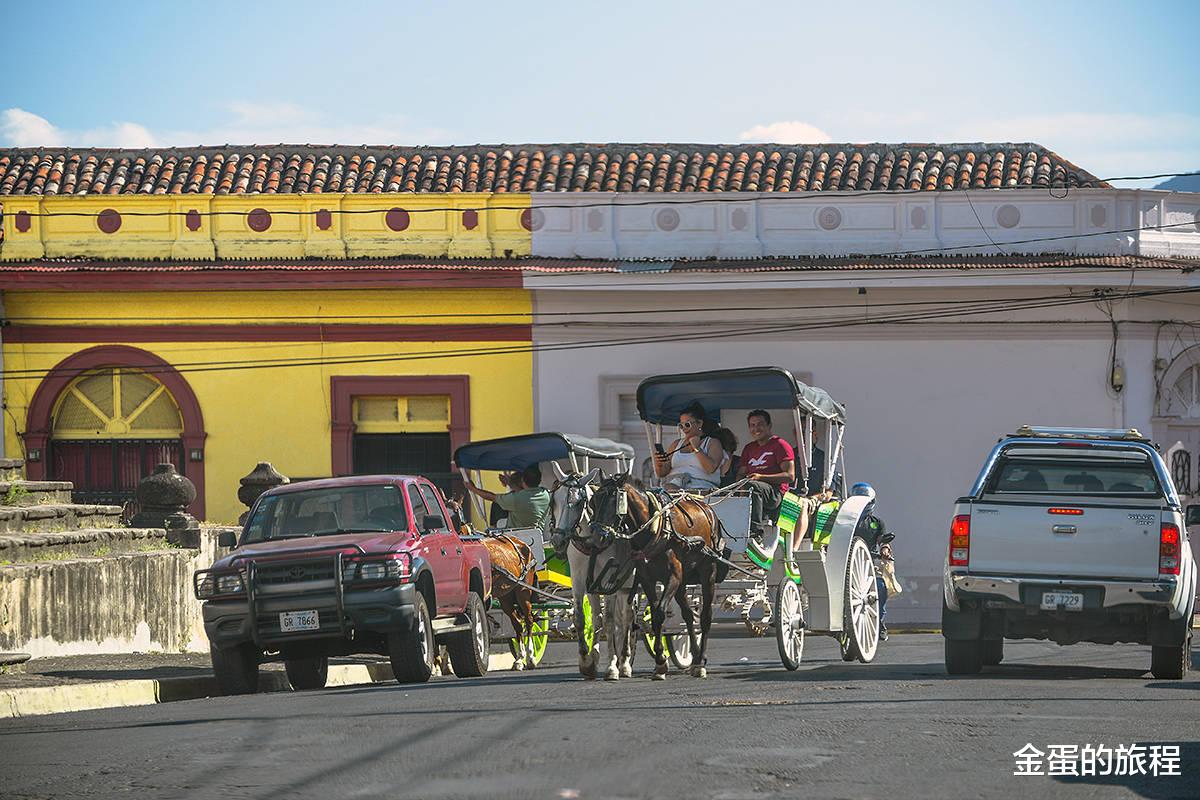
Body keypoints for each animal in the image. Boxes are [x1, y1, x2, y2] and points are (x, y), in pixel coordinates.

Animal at [480, 534, 542, 671]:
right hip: (506, 596)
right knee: (518, 623)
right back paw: (519, 659)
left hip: (523, 591)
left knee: (529, 620)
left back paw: (530, 657)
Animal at [552, 462, 643, 681]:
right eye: (554, 501)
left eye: (578, 503)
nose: (557, 541)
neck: (591, 541)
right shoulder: (580, 580)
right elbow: (584, 618)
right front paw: (588, 661)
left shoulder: (609, 581)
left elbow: (609, 622)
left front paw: (612, 666)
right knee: (606, 617)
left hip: (628, 584)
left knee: (626, 617)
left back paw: (624, 662)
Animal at [590, 474, 720, 681]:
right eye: (593, 502)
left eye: (614, 501)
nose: (597, 539)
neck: (654, 529)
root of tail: (706, 507)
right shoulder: (647, 579)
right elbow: (656, 615)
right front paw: (660, 663)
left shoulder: (673, 576)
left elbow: (659, 613)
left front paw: (661, 661)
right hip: (682, 584)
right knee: (688, 615)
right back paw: (694, 656)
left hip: (708, 571)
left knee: (705, 617)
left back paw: (700, 662)